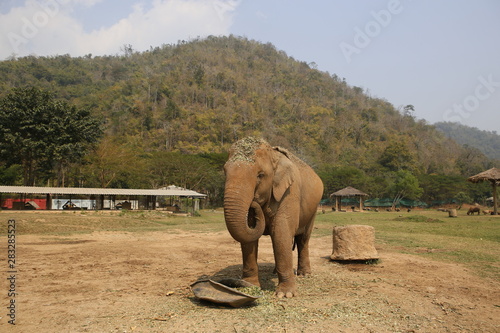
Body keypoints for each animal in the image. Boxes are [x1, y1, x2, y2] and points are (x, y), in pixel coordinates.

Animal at [223, 136, 324, 296]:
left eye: (260, 175)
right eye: (224, 172)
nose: (253, 202)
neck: (274, 156)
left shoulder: (289, 192)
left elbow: (281, 232)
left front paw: (285, 294)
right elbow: (249, 237)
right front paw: (249, 287)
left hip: (313, 210)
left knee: (303, 239)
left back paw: (304, 274)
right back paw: (274, 272)